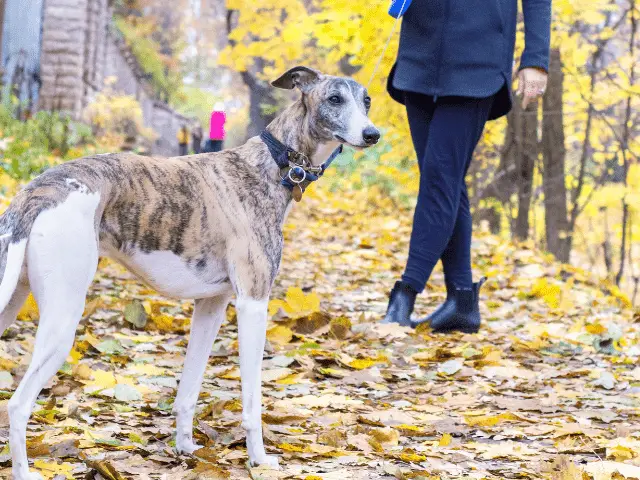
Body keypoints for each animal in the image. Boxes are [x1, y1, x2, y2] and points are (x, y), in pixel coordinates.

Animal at [0, 65, 380, 478]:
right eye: (334, 99)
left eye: (367, 100)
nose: (373, 134)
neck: (271, 163)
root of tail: (36, 193)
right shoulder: (252, 303)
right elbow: (251, 401)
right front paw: (259, 459)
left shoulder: (212, 305)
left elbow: (189, 389)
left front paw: (185, 449)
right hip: (63, 318)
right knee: (17, 405)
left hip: (11, 299)